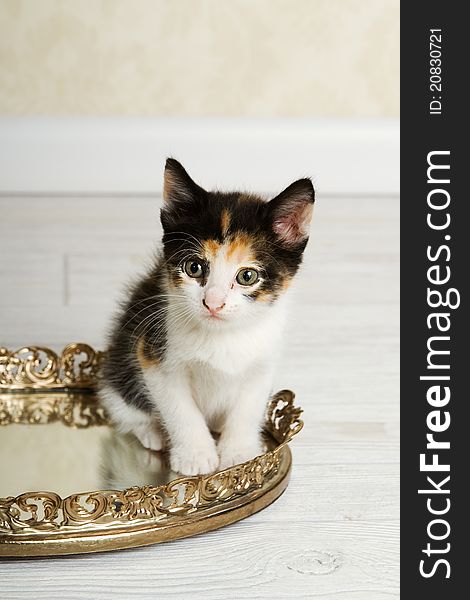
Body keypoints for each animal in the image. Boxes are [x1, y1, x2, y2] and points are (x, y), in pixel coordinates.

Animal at [99, 157, 314, 476]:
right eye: (194, 267)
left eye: (247, 276)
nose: (213, 303)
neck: (222, 335)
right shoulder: (153, 354)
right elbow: (179, 407)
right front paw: (195, 455)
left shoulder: (263, 360)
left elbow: (248, 406)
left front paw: (239, 454)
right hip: (118, 370)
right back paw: (152, 432)